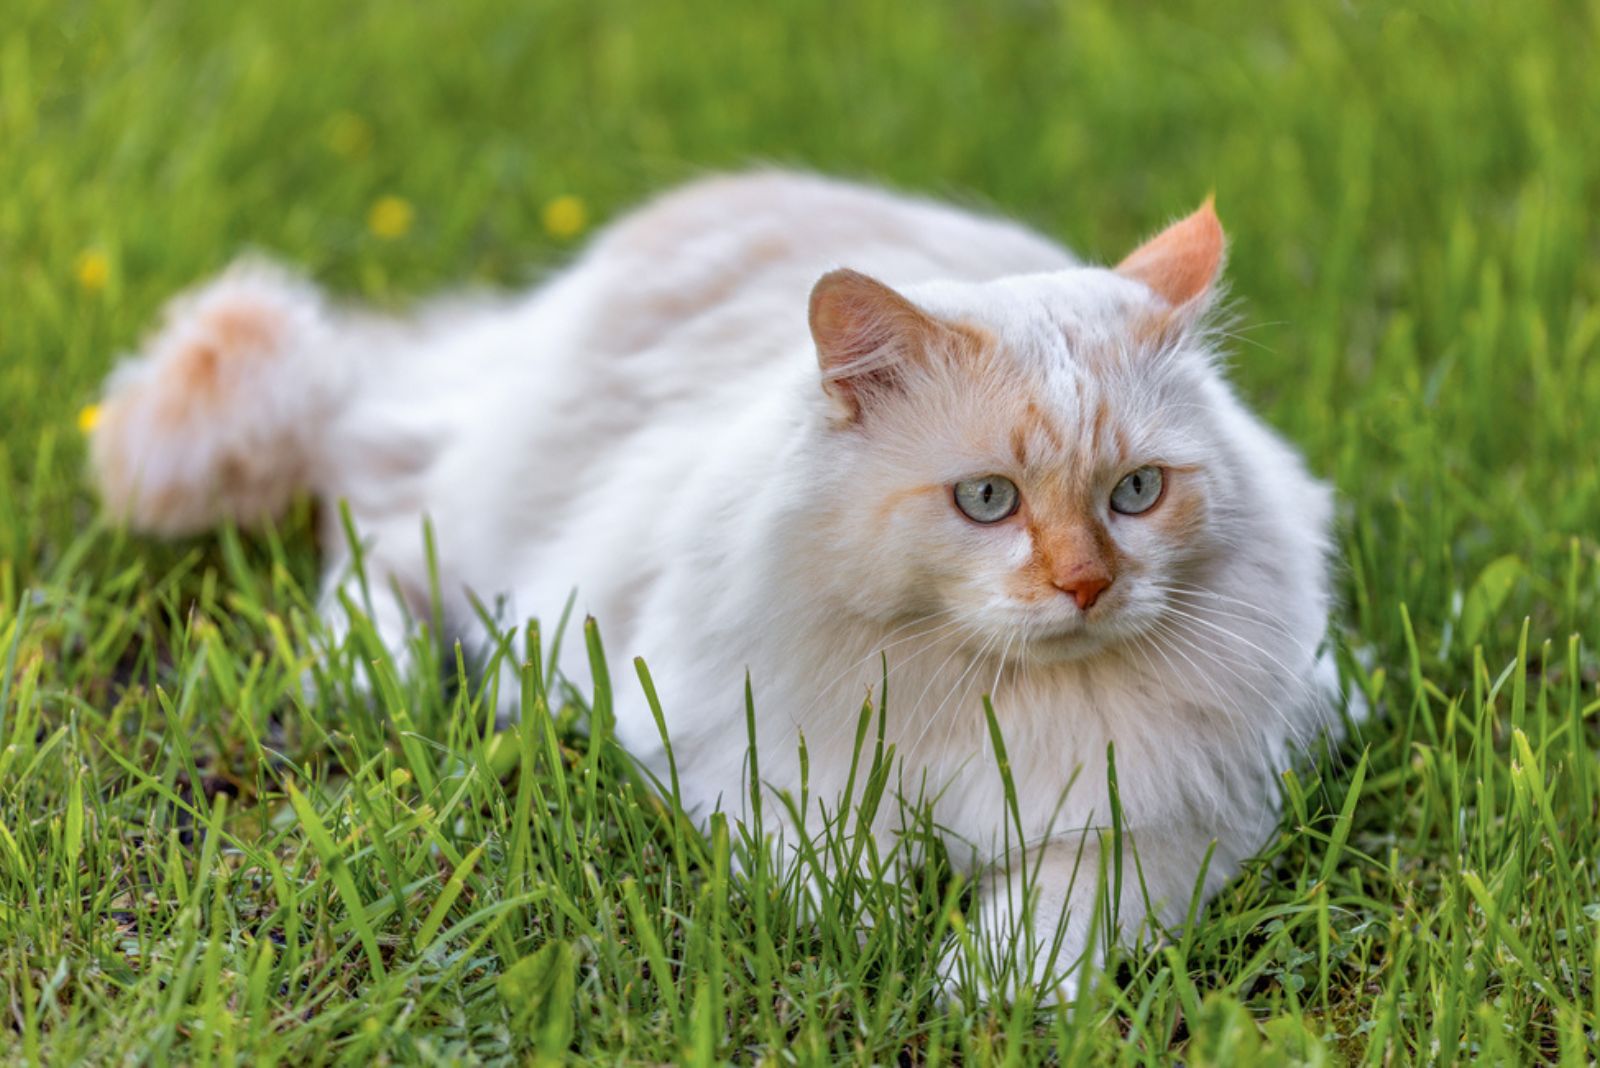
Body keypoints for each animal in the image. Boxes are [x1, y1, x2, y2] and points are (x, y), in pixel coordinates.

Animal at [90, 168, 1350, 1004]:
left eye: (1135, 493)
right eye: (987, 501)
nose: (1085, 586)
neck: (997, 699)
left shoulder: (1182, 824)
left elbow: (1056, 915)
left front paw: (973, 985)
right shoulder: (744, 757)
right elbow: (832, 869)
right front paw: (878, 938)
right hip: (486, 527)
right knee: (371, 537)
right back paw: (373, 676)